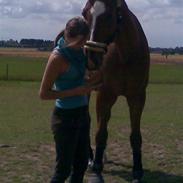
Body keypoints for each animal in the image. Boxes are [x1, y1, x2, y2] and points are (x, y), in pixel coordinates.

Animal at [83, 0, 150, 182]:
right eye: (85, 13)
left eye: (109, 16)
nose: (91, 58)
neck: (125, 54)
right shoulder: (105, 95)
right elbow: (101, 133)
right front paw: (97, 169)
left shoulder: (137, 97)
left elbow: (135, 135)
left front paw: (137, 170)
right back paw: (91, 159)